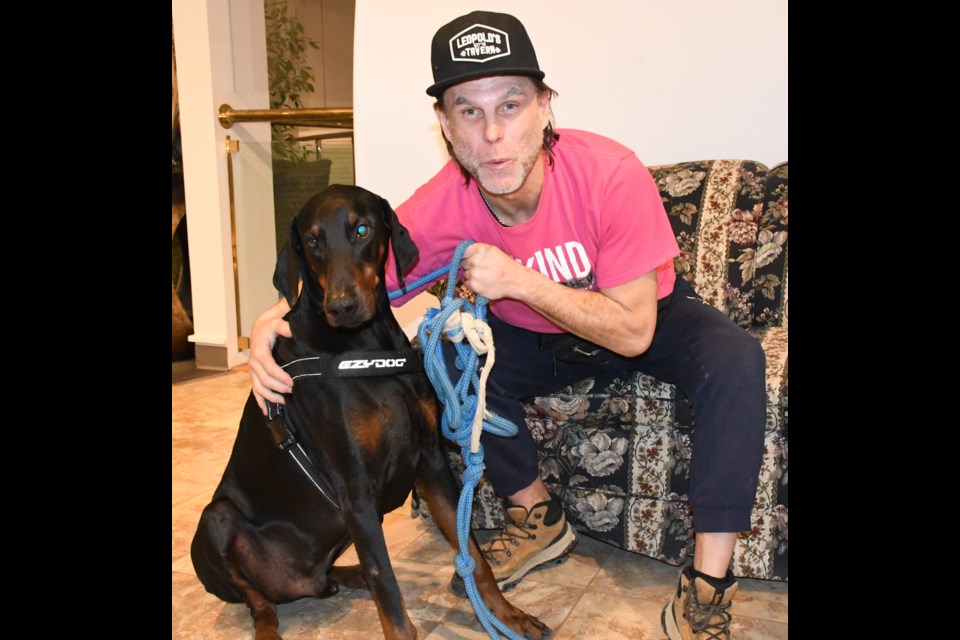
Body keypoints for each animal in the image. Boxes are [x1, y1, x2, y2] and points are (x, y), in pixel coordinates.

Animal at [189, 185, 548, 640]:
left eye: (361, 230)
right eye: (312, 241)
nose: (340, 306)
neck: (364, 349)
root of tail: (295, 585)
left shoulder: (432, 465)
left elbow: (473, 557)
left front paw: (507, 615)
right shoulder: (355, 489)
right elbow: (391, 600)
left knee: (334, 578)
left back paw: (348, 575)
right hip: (215, 522)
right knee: (260, 603)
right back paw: (270, 626)